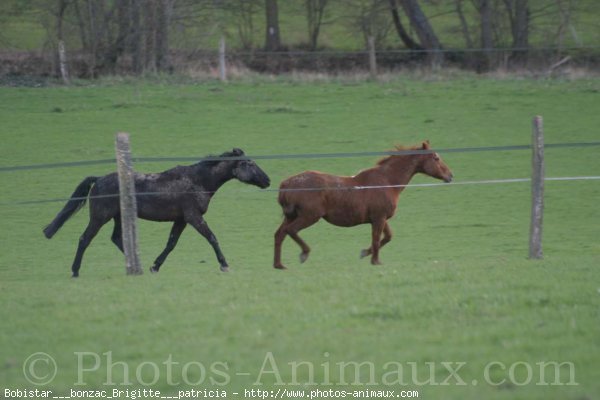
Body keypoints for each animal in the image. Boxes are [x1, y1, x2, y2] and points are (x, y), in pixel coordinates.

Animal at [45, 148, 270, 276]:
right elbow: (212, 237)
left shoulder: (181, 220)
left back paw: (138, 265)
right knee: (85, 239)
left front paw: (155, 266)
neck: (198, 180)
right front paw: (224, 265)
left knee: (116, 238)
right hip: (100, 217)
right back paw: (75, 270)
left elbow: (171, 243)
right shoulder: (193, 217)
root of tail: (98, 179)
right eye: (250, 163)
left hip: (118, 217)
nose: (267, 181)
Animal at [274, 141, 452, 268]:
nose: (450, 176)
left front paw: (365, 253)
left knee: (279, 234)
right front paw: (375, 261)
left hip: (292, 216)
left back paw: (279, 265)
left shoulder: (380, 218)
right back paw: (304, 253)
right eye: (436, 158)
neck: (387, 181)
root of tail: (286, 184)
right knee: (291, 231)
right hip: (309, 216)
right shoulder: (379, 218)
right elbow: (376, 239)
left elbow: (387, 237)